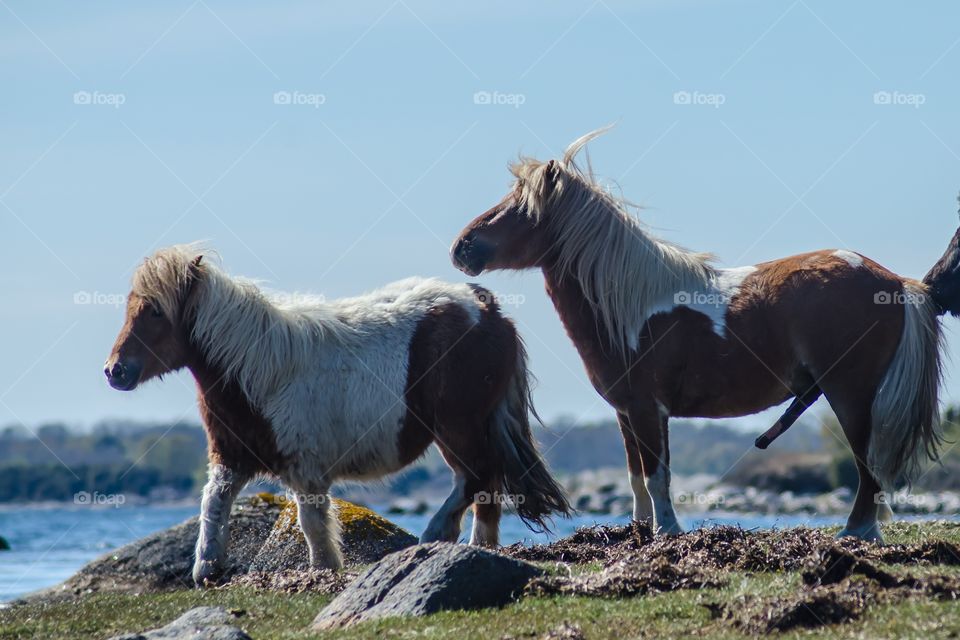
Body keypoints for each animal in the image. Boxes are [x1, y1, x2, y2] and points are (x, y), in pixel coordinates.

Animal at [105, 245, 568, 584]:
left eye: (156, 311)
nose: (115, 371)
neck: (260, 370)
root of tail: (487, 309)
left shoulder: (304, 467)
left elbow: (311, 521)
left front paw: (324, 569)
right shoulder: (232, 457)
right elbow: (213, 502)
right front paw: (207, 568)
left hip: (456, 428)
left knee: (475, 477)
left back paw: (436, 536)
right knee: (487, 485)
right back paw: (479, 548)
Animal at [452, 130, 960, 544]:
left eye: (520, 209)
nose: (462, 247)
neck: (631, 307)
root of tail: (894, 282)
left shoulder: (648, 409)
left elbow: (657, 476)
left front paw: (667, 531)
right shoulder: (627, 412)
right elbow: (636, 477)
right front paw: (638, 532)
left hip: (850, 394)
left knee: (867, 468)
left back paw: (856, 533)